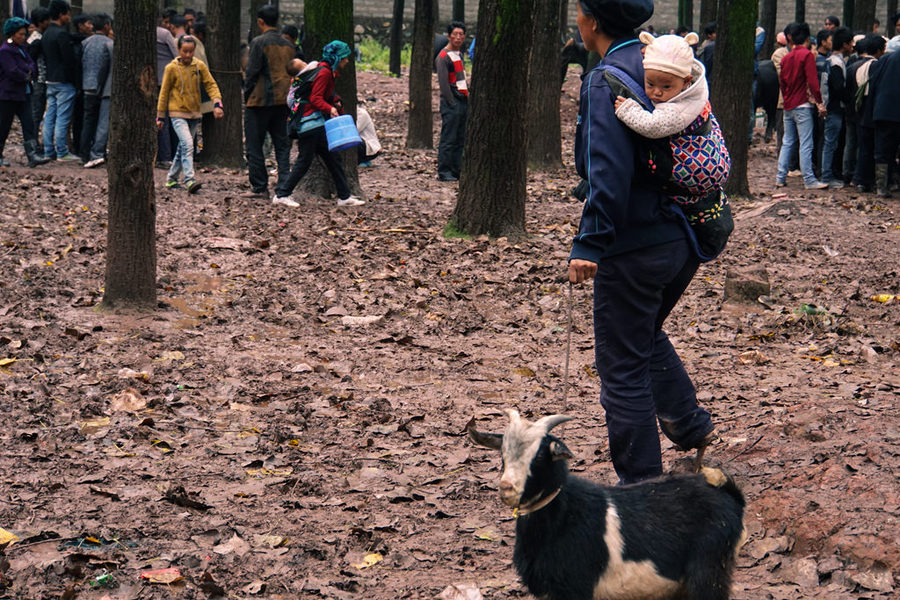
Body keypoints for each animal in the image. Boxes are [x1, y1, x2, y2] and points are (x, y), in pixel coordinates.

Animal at [468, 410, 748, 600]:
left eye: (538, 456)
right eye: (502, 454)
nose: (507, 488)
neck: (564, 514)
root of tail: (729, 495)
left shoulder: (576, 587)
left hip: (709, 569)